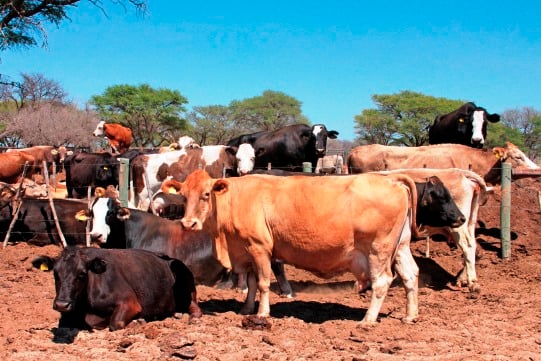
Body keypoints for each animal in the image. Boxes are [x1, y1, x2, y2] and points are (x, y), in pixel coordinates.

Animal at [33, 248, 202, 330]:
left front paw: (137, 322)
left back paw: (192, 318)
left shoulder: (129, 302)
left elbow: (115, 323)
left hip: (186, 284)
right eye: (55, 273)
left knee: (195, 307)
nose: (62, 304)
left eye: (81, 274)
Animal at [179, 169, 420, 324]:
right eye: (183, 197)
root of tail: (391, 179)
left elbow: (263, 283)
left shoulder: (260, 247)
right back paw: (410, 316)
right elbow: (252, 283)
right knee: (410, 275)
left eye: (206, 194)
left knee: (382, 281)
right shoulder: (247, 250)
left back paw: (367, 320)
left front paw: (262, 313)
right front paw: (246, 309)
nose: (188, 223)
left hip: (378, 249)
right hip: (401, 246)